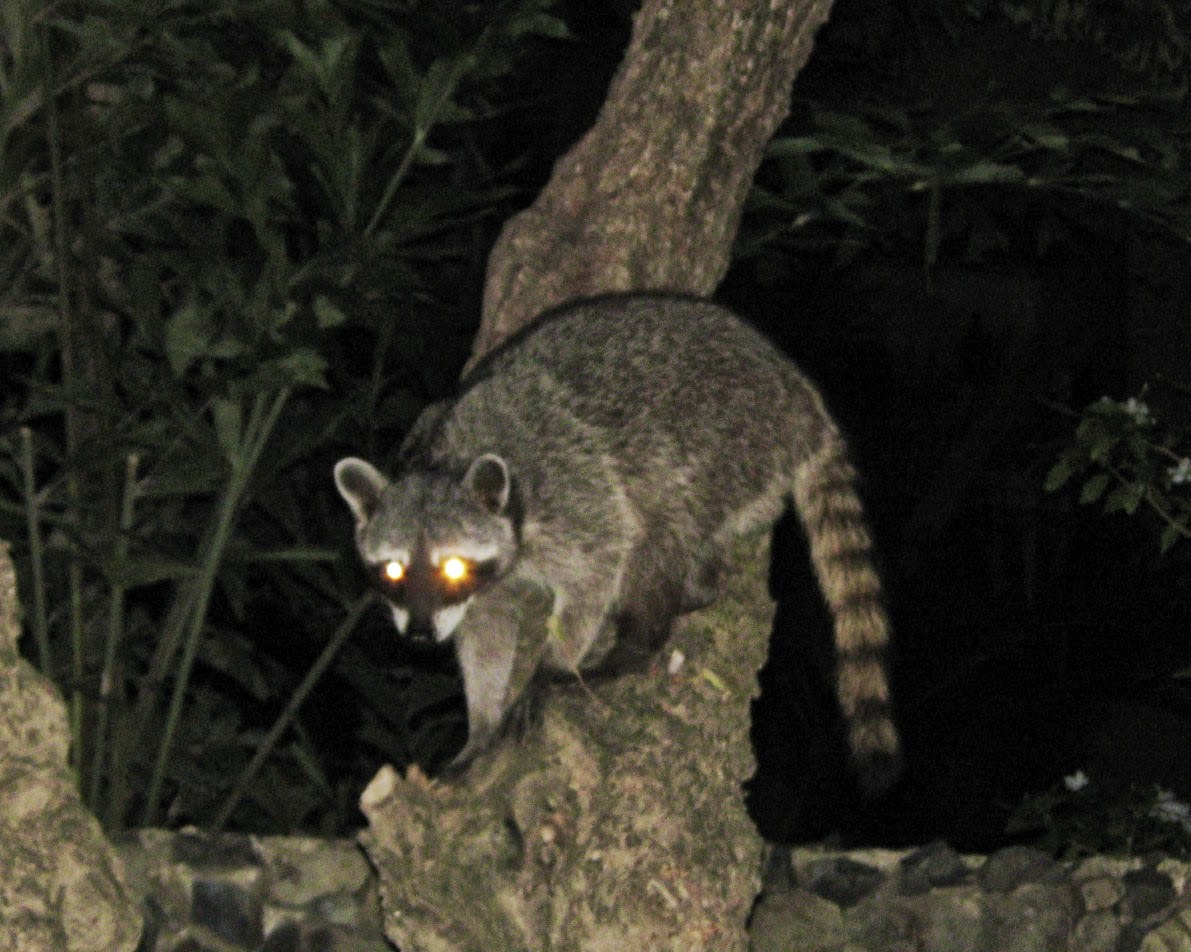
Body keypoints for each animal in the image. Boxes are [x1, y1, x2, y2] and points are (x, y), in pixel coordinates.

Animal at [334, 294, 901, 794]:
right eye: (392, 571)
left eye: (452, 567)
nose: (420, 635)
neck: (447, 459)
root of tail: (801, 397)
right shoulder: (486, 578)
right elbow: (485, 631)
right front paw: (481, 723)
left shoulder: (573, 492)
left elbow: (598, 566)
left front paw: (552, 663)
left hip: (730, 441)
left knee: (657, 533)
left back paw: (635, 643)